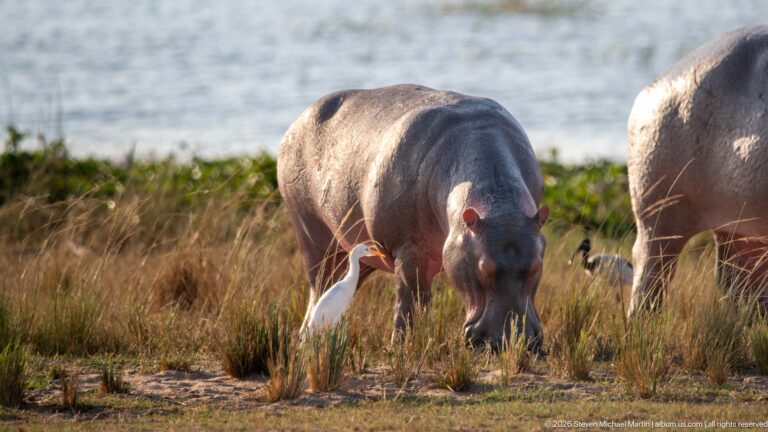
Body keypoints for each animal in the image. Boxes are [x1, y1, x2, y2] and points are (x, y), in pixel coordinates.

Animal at [278, 84, 549, 351]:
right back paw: (308, 340)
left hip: (360, 254)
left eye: (537, 265)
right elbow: (412, 300)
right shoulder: (408, 249)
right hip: (315, 240)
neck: (498, 201)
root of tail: (297, 121)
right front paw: (401, 346)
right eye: (484, 267)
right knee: (320, 288)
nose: (510, 342)